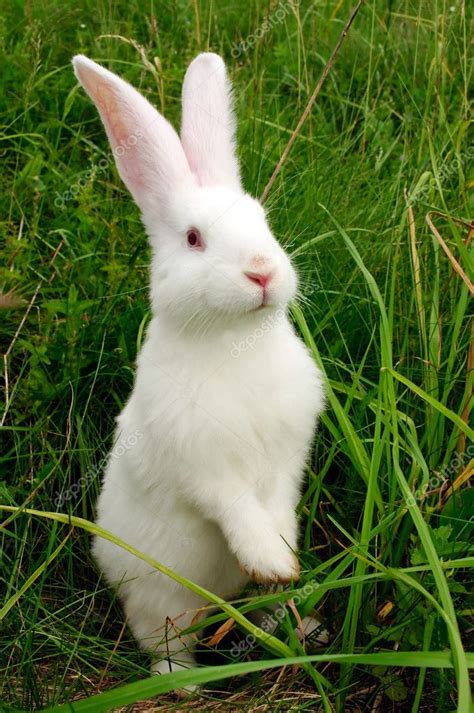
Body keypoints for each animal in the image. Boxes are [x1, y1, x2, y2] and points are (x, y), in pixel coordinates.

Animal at [73, 51, 326, 680]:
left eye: (263, 221)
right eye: (193, 239)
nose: (261, 271)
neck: (235, 341)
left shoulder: (287, 457)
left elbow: (277, 502)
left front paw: (283, 560)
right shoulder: (204, 469)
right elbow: (236, 509)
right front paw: (272, 559)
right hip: (163, 599)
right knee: (163, 642)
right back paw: (186, 684)